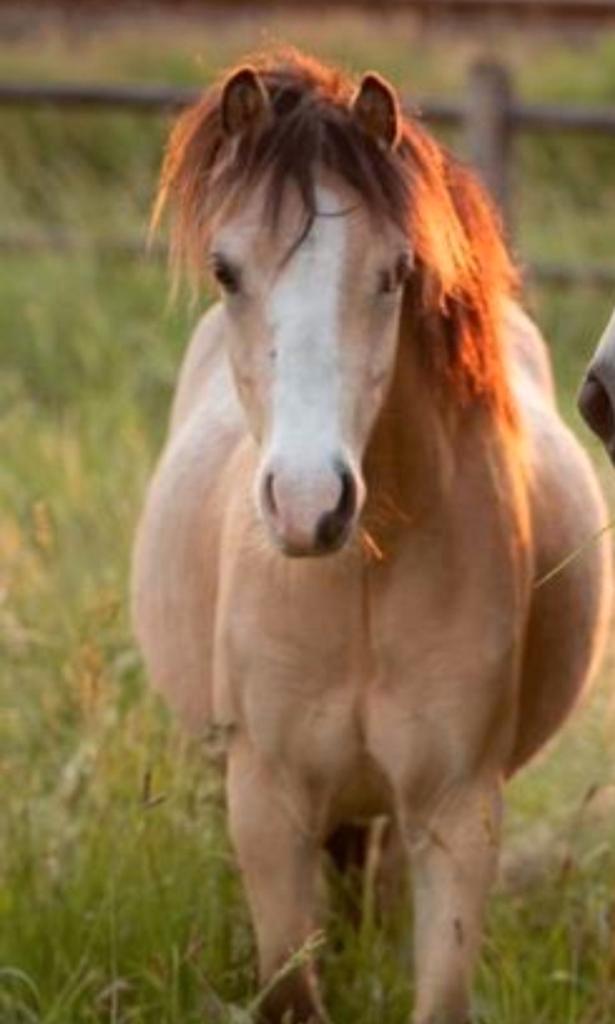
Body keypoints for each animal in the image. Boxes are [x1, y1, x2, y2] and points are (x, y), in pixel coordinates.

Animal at [132, 50, 611, 1024]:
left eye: (394, 272)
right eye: (226, 270)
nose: (309, 504)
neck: (356, 586)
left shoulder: (455, 816)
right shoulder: (266, 807)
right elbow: (291, 989)